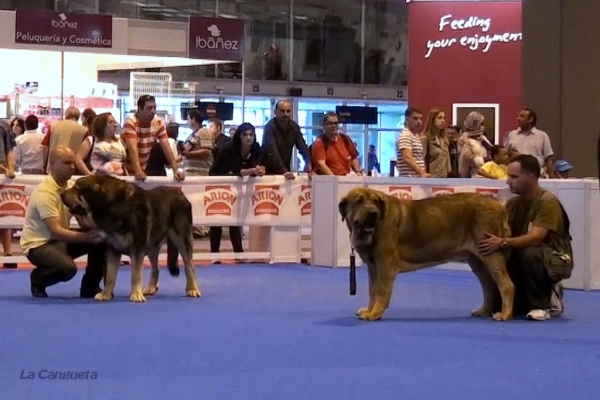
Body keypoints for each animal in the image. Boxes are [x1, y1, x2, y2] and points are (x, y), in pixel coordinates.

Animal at [340, 188, 512, 322]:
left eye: (375, 201)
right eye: (359, 201)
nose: (373, 213)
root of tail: (500, 206)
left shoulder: (386, 263)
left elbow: (381, 290)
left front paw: (375, 313)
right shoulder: (373, 265)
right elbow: (372, 290)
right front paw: (369, 310)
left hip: (490, 254)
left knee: (505, 284)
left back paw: (504, 314)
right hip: (477, 260)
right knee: (488, 285)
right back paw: (483, 311)